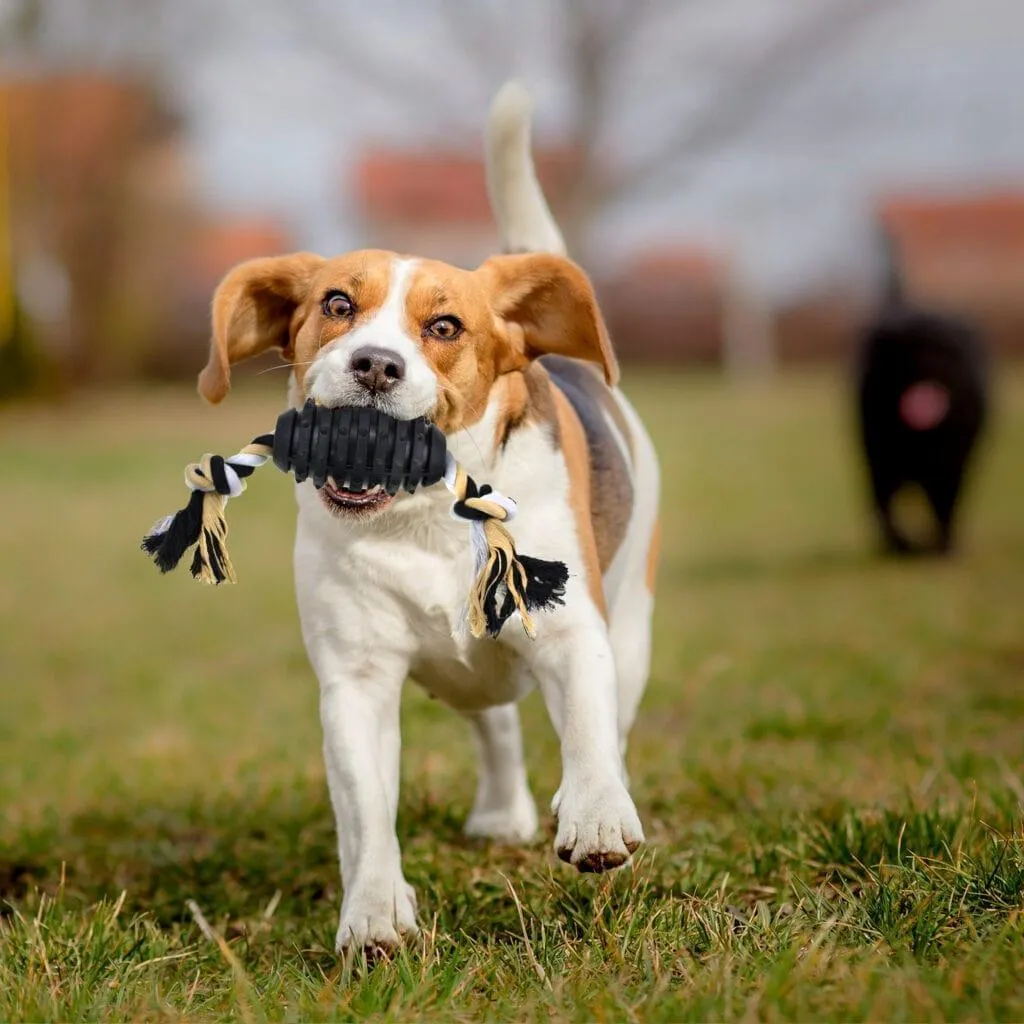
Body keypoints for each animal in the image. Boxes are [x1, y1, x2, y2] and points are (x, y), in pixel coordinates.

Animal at [198, 81, 659, 950]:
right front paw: (374, 910)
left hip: (633, 619)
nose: (375, 365)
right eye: (337, 304)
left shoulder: (573, 629)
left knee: (609, 718)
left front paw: (594, 814)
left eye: (444, 327)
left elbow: (586, 723)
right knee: (497, 725)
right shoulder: (355, 681)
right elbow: (365, 809)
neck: (421, 517)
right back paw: (502, 814)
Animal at [856, 244, 991, 557]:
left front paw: (942, 548)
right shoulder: (880, 462)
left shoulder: (951, 464)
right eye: (906, 351)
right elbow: (883, 507)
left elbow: (945, 507)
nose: (925, 365)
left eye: (943, 350)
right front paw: (902, 546)